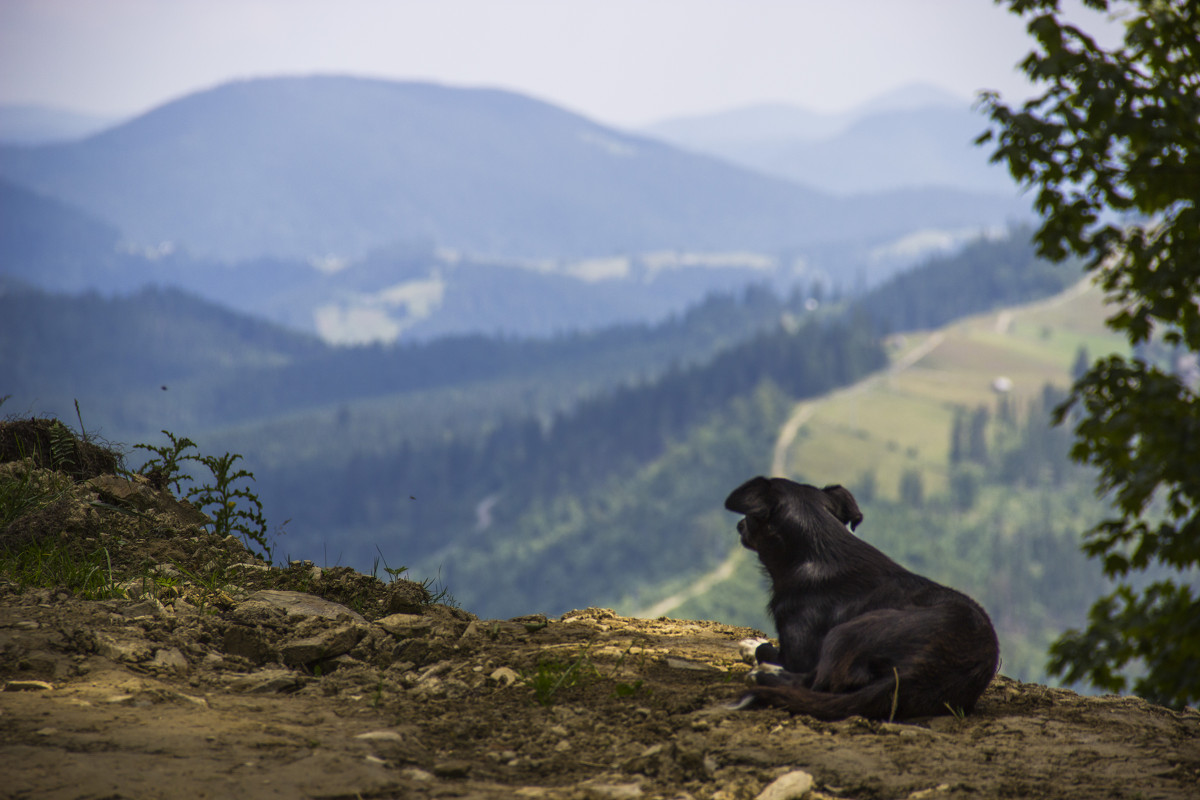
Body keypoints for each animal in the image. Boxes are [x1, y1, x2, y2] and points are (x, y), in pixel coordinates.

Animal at [724, 479, 998, 724]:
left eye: (750, 517)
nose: (739, 525)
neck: (816, 552)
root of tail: (917, 671)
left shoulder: (797, 654)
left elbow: (770, 651)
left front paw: (756, 651)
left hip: (846, 632)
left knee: (816, 684)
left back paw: (764, 675)